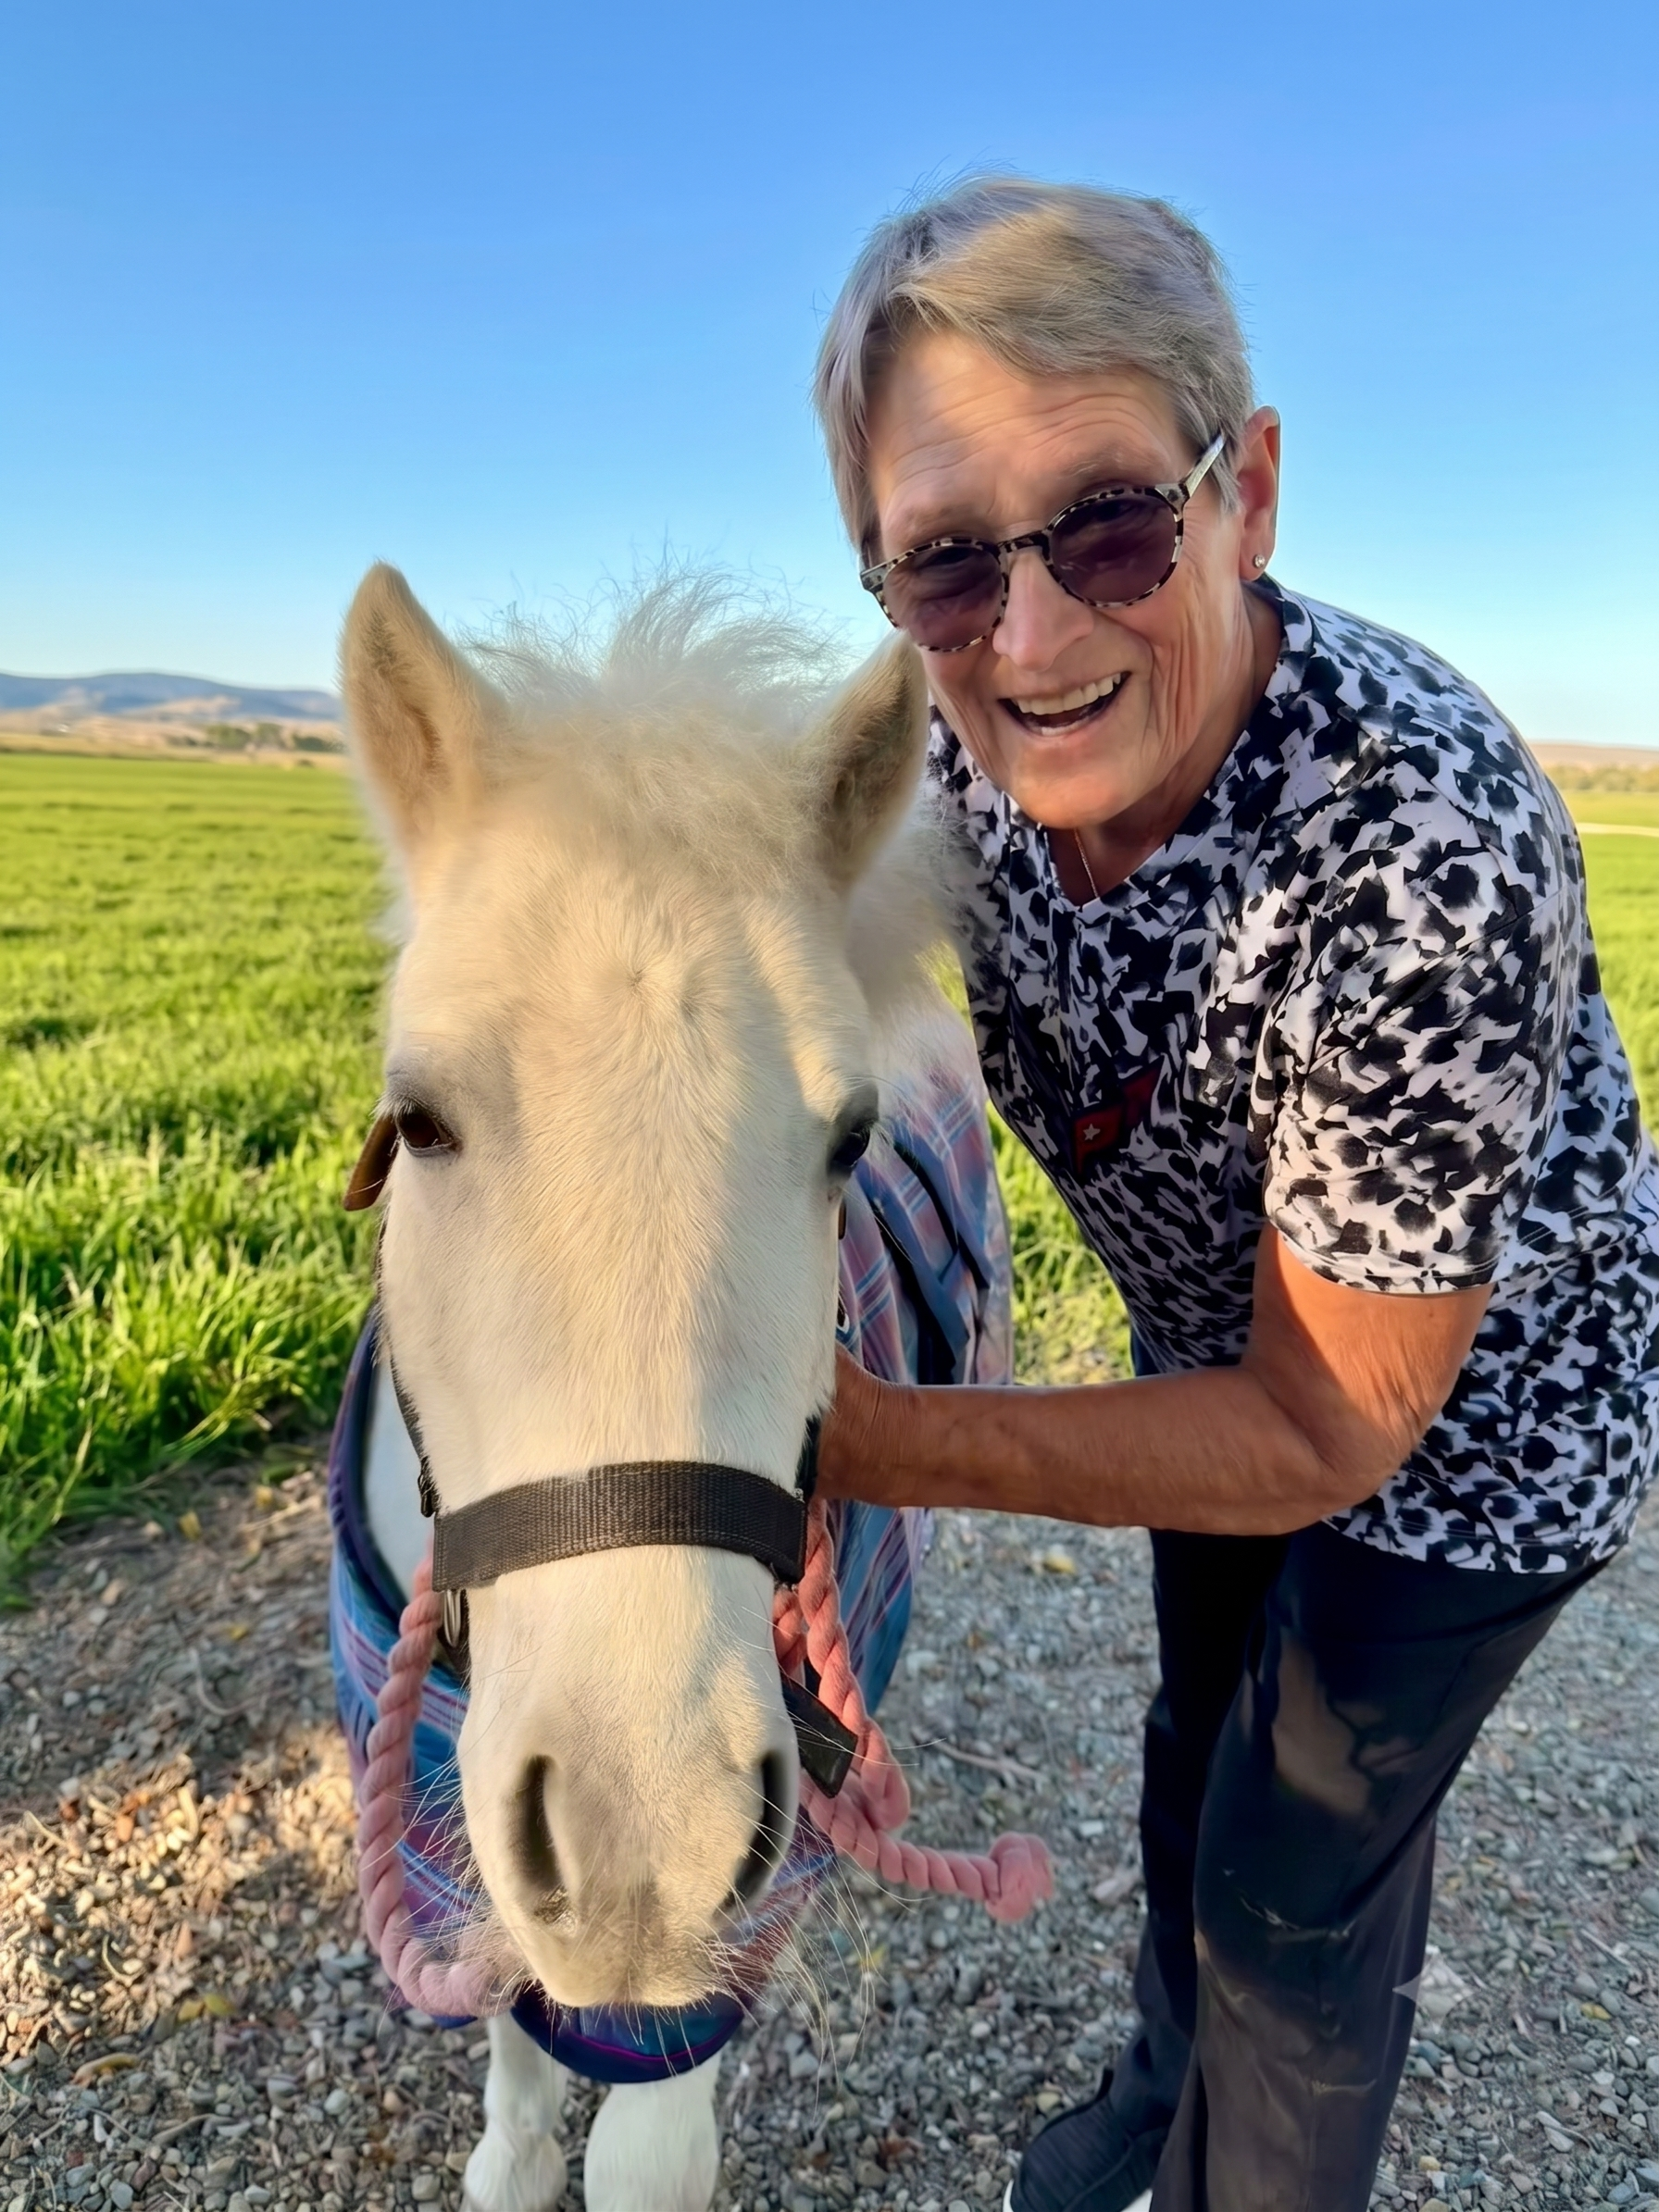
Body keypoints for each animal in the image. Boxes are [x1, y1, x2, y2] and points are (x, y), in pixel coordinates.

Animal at [326, 565, 1050, 2212]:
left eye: (847, 1140)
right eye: (421, 1118)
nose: (643, 1842)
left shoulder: (689, 1991)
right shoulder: (472, 1844)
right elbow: (516, 2079)